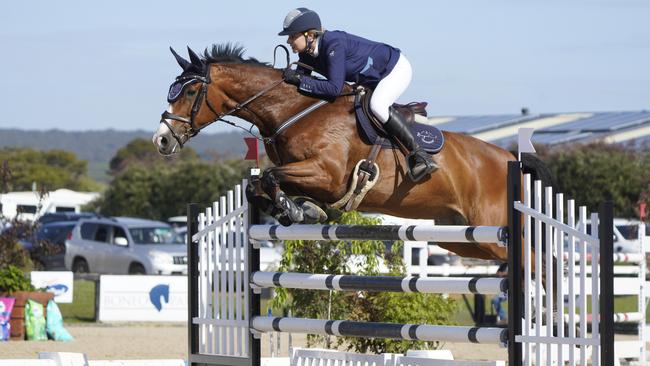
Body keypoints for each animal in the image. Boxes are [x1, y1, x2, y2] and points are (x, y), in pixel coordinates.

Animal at [153, 45, 552, 266]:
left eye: (189, 92)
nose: (162, 140)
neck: (294, 110)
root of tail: (508, 159)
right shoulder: (308, 175)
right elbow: (258, 186)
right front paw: (300, 210)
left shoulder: (327, 175)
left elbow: (269, 176)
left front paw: (294, 210)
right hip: (461, 238)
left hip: (491, 231)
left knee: (535, 264)